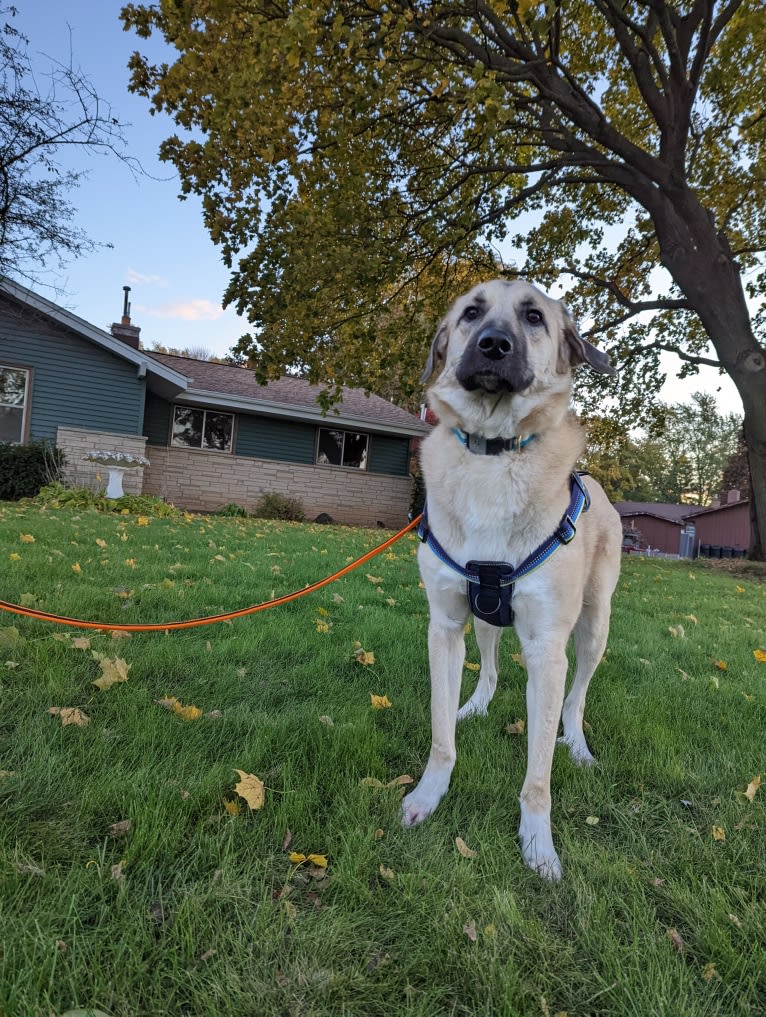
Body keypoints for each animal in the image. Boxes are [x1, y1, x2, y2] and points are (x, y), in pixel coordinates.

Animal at [400, 278, 622, 882]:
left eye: (533, 317)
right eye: (471, 313)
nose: (494, 345)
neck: (493, 455)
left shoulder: (546, 648)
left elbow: (538, 775)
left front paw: (538, 843)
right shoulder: (445, 625)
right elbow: (441, 735)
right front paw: (429, 795)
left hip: (594, 628)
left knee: (576, 700)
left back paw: (579, 747)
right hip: (485, 620)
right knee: (493, 670)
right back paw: (474, 705)